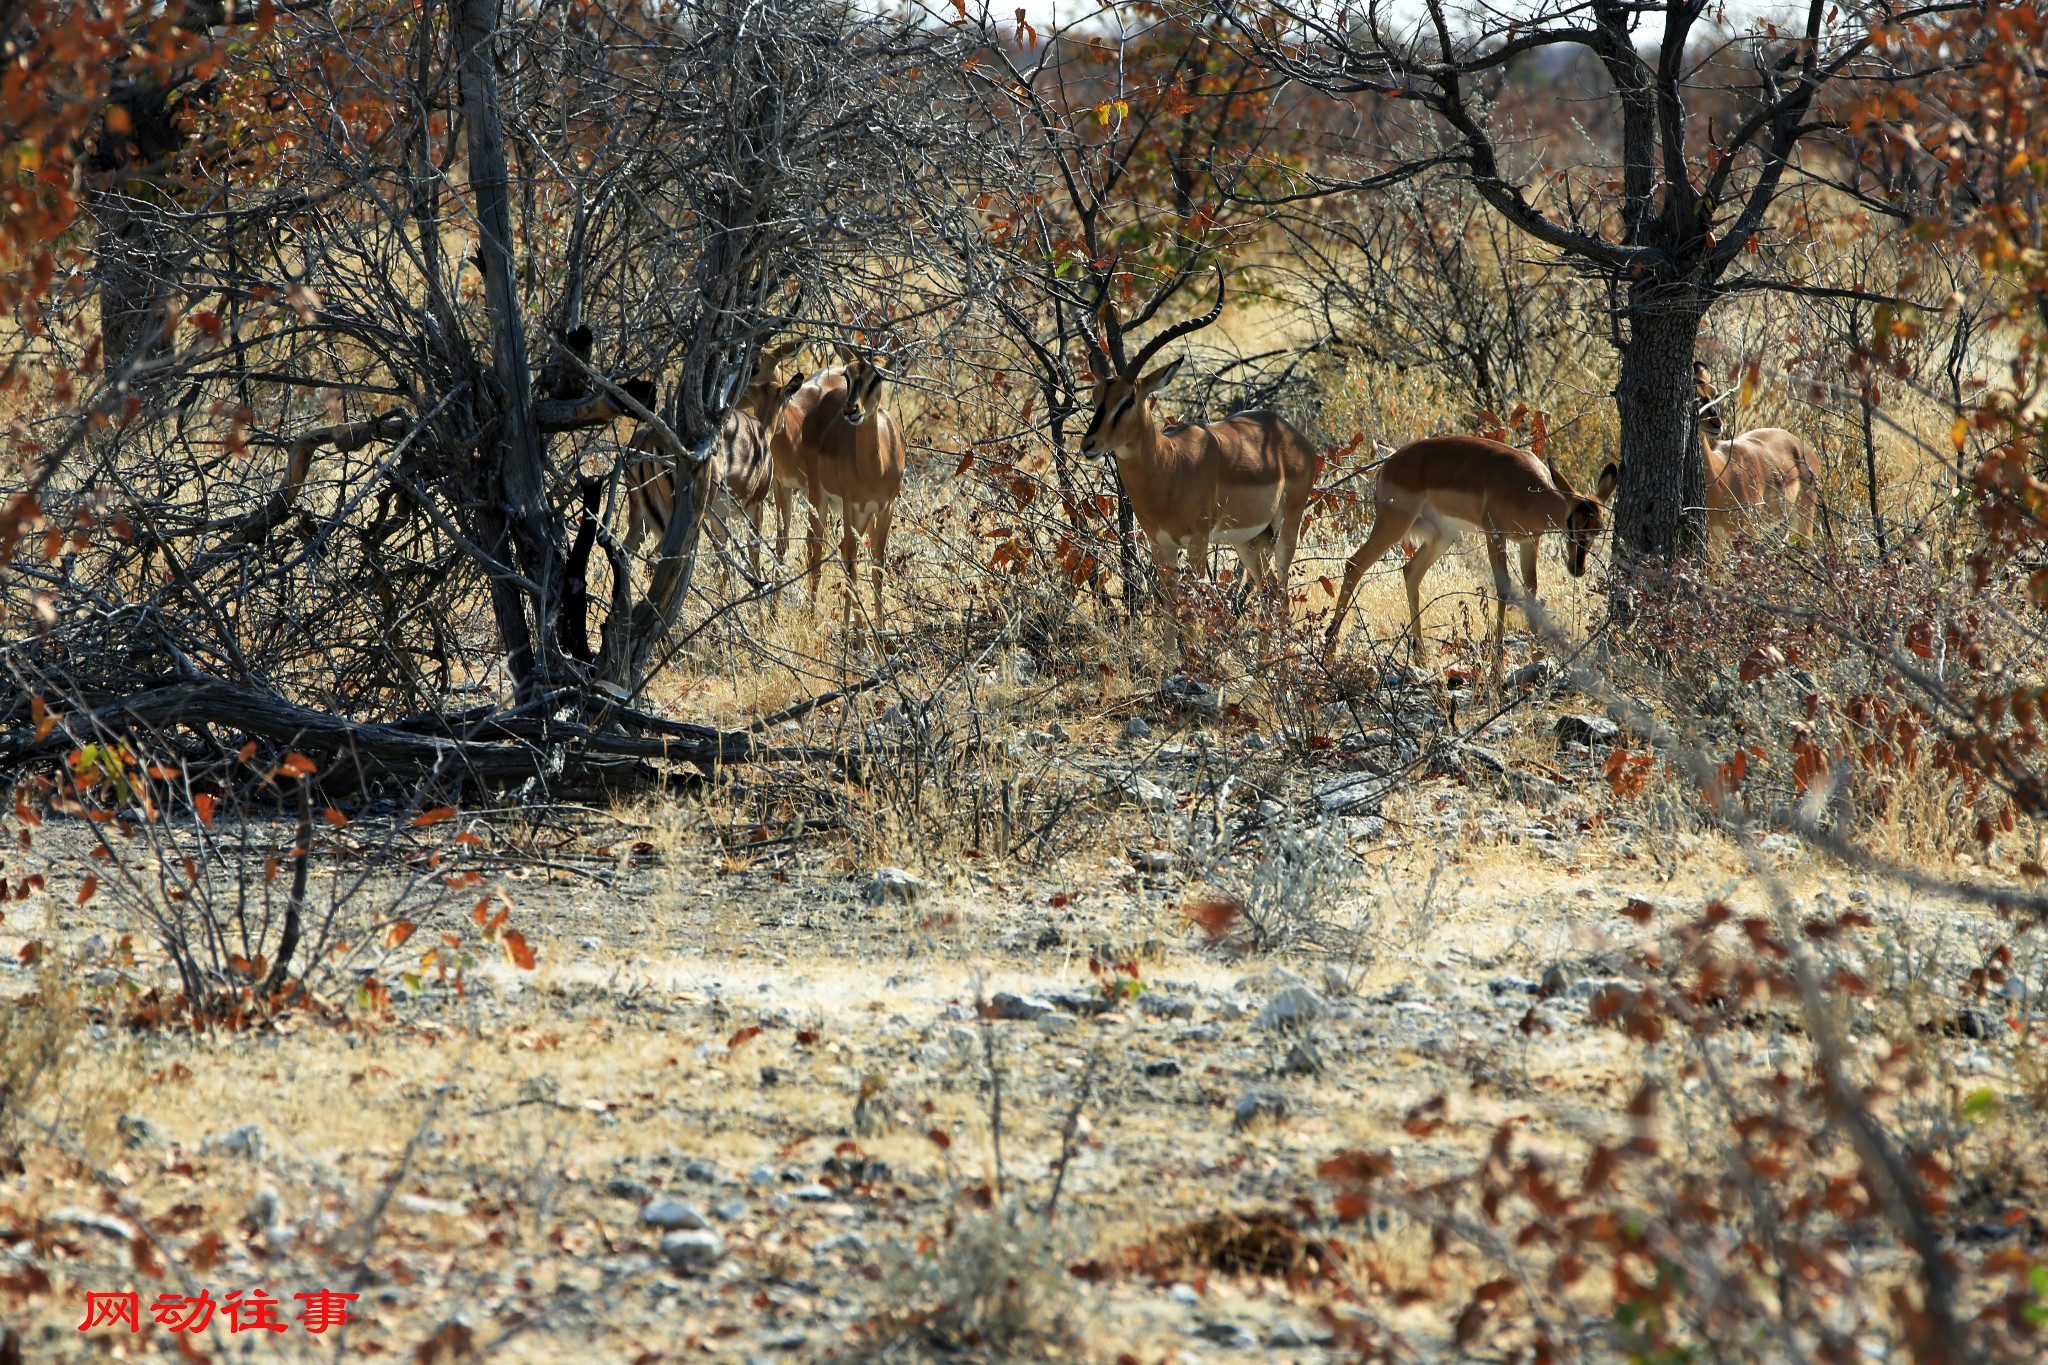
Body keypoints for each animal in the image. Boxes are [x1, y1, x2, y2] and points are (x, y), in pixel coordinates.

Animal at [1081, 266, 1318, 630]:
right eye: (1095, 396)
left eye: (1128, 400)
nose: (1089, 444)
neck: (1168, 467)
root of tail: (1289, 432)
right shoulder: (1160, 545)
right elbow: (1169, 611)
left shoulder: (1197, 542)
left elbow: (1192, 616)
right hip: (1248, 541)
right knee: (1266, 595)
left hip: (1287, 527)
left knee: (1281, 596)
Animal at [1327, 437, 1613, 679]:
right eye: (1571, 522)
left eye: (1598, 528)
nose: (1577, 568)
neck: (1526, 490)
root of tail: (1392, 458)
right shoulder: (1494, 534)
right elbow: (1504, 587)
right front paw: (1498, 667)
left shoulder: (1530, 542)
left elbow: (1531, 590)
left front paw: (1539, 658)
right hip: (1395, 522)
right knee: (1354, 564)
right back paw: (1330, 649)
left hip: (1442, 535)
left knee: (1410, 572)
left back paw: (1421, 658)